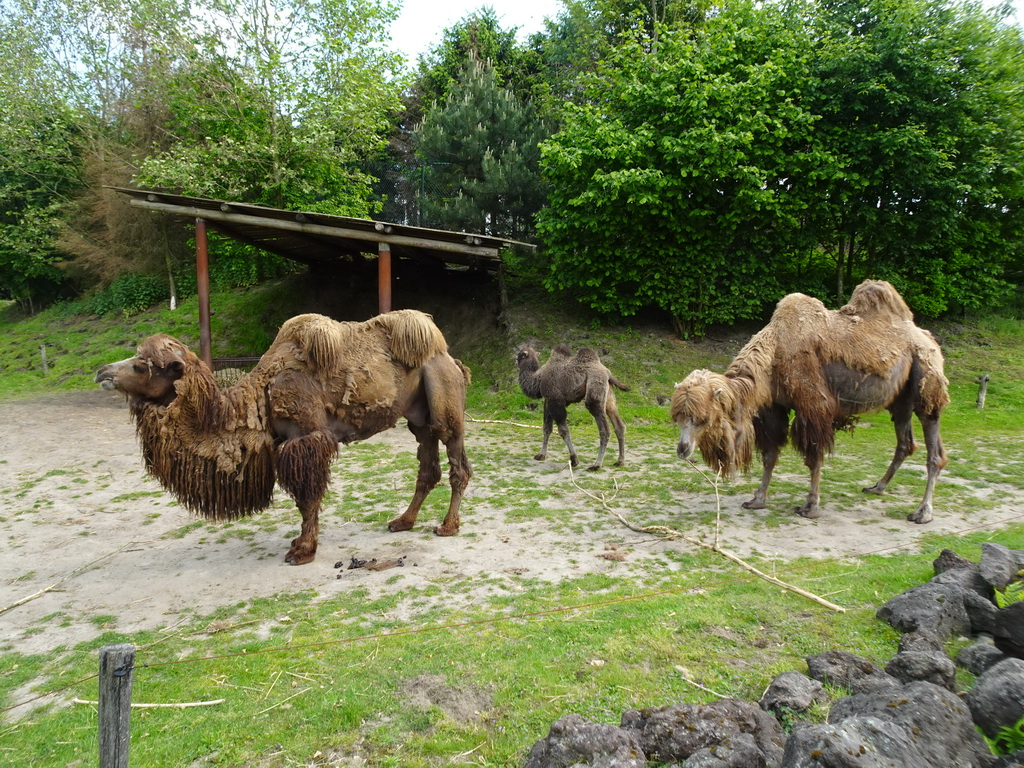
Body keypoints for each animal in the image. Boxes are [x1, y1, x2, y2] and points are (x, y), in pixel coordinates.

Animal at [96, 311, 471, 565]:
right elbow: (302, 499)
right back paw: (403, 521)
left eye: (142, 366)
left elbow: (308, 498)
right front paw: (300, 544)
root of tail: (450, 357)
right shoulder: (284, 445)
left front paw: (302, 550)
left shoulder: (306, 439)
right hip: (417, 416)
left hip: (443, 399)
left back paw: (448, 526)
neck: (258, 397)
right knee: (428, 468)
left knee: (457, 464)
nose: (102, 372)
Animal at [667, 280, 946, 528]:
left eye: (702, 419)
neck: (774, 354)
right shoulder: (774, 406)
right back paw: (878, 487)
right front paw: (757, 500)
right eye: (677, 418)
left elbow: (814, 457)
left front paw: (810, 507)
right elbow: (770, 455)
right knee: (905, 442)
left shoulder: (813, 405)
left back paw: (922, 513)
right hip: (900, 399)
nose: (682, 449)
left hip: (926, 379)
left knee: (934, 448)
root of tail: (928, 338)